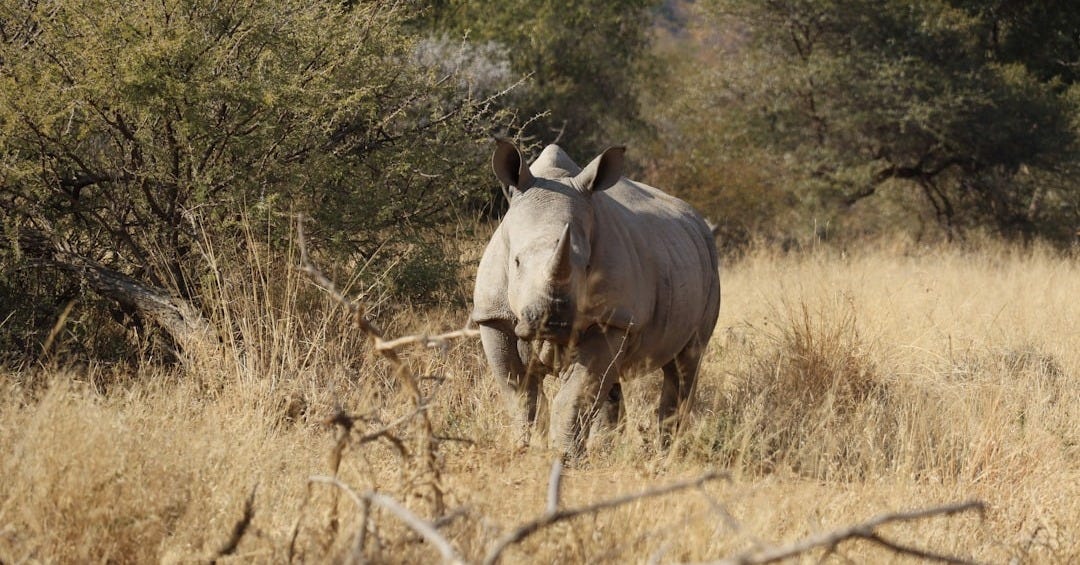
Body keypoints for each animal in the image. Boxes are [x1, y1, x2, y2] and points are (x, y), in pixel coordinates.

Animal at [472, 139, 721, 457]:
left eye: (587, 265)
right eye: (515, 262)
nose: (551, 322)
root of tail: (697, 220)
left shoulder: (612, 319)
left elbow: (577, 393)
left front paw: (564, 457)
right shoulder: (494, 316)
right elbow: (520, 393)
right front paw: (524, 450)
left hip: (706, 263)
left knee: (685, 362)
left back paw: (667, 453)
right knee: (611, 383)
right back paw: (607, 450)